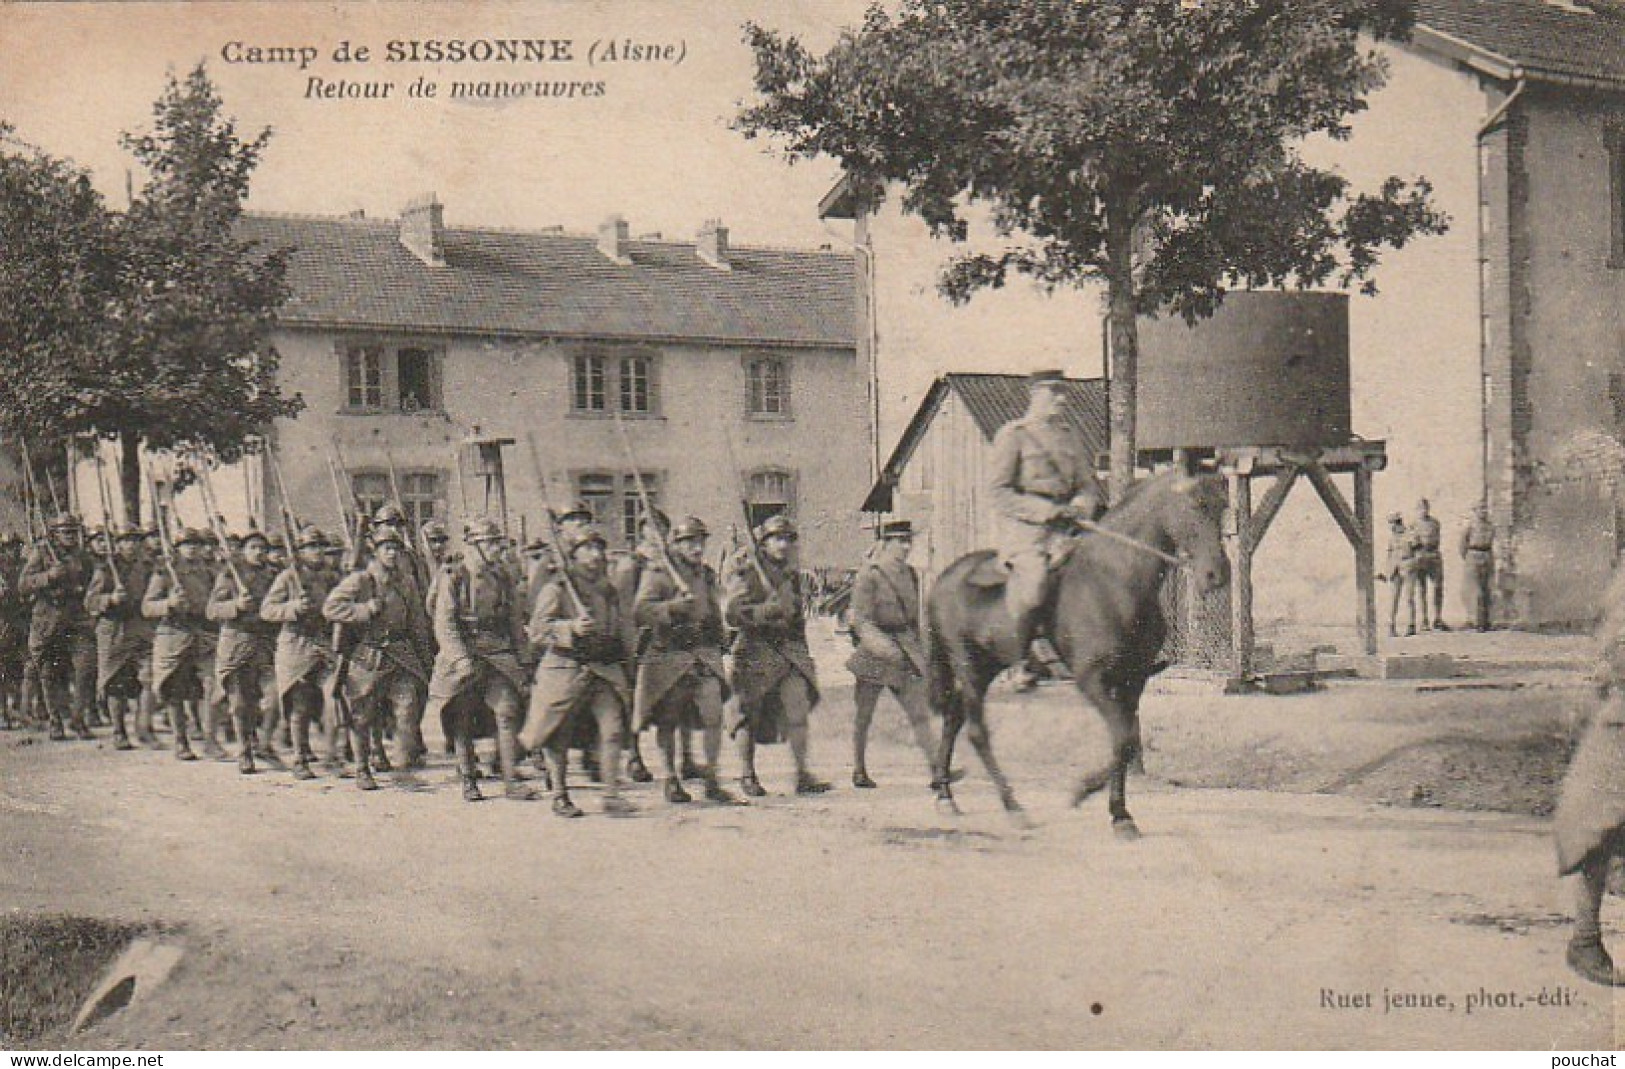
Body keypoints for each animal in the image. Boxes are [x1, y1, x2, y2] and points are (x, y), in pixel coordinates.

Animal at [929, 471, 1228, 838]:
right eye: (1196, 504)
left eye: (1222, 506)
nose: (1217, 574)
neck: (1115, 579)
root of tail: (943, 578)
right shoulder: (1092, 679)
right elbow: (1123, 738)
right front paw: (1083, 791)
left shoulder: (1132, 681)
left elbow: (1126, 741)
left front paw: (1120, 814)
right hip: (968, 665)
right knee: (976, 732)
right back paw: (1013, 808)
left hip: (985, 666)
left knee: (953, 716)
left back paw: (945, 794)